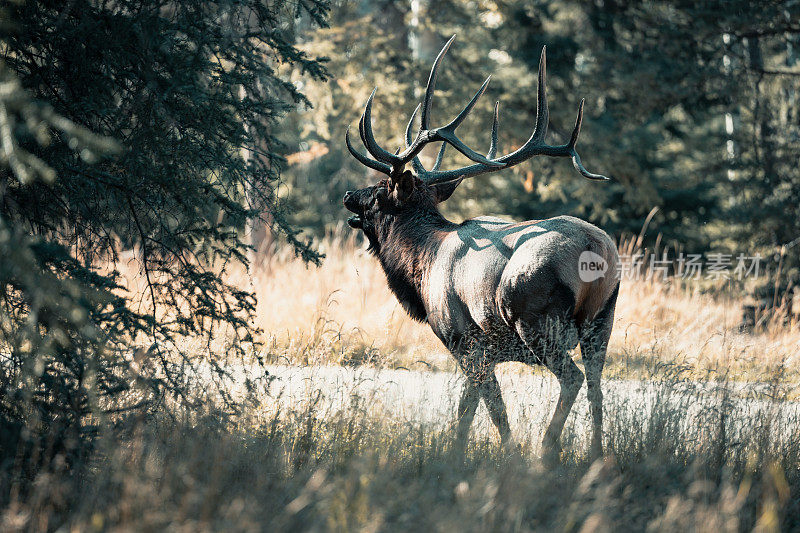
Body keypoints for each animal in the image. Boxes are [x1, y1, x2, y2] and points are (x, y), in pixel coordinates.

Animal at [342, 35, 620, 460]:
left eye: (378, 192)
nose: (348, 196)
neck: (421, 267)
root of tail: (596, 249)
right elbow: (479, 407)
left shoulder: (465, 339)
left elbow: (482, 408)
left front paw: (486, 455)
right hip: (602, 321)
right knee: (596, 385)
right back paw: (597, 455)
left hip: (535, 318)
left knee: (571, 378)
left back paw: (546, 449)